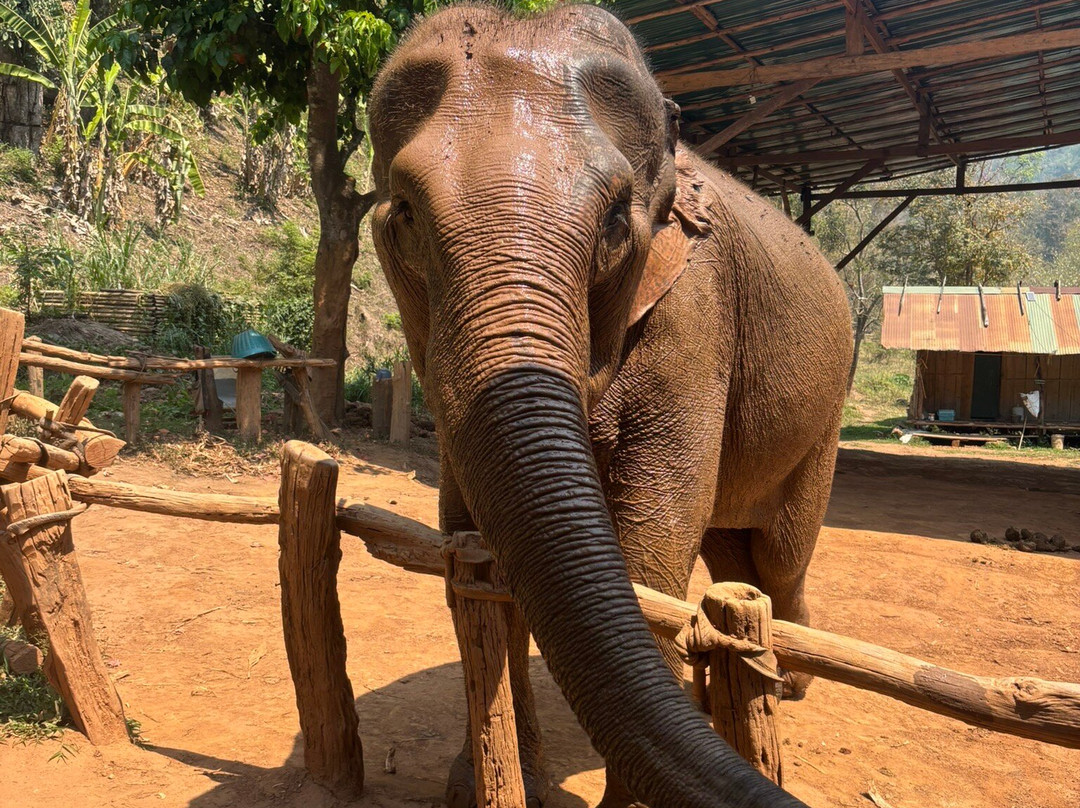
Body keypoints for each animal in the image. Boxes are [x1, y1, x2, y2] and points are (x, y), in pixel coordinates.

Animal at [368, 5, 852, 808]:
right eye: (404, 212)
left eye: (617, 226)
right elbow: (466, 533)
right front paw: (489, 781)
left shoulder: (695, 315)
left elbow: (653, 538)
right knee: (732, 551)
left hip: (824, 417)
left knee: (780, 557)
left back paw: (789, 684)